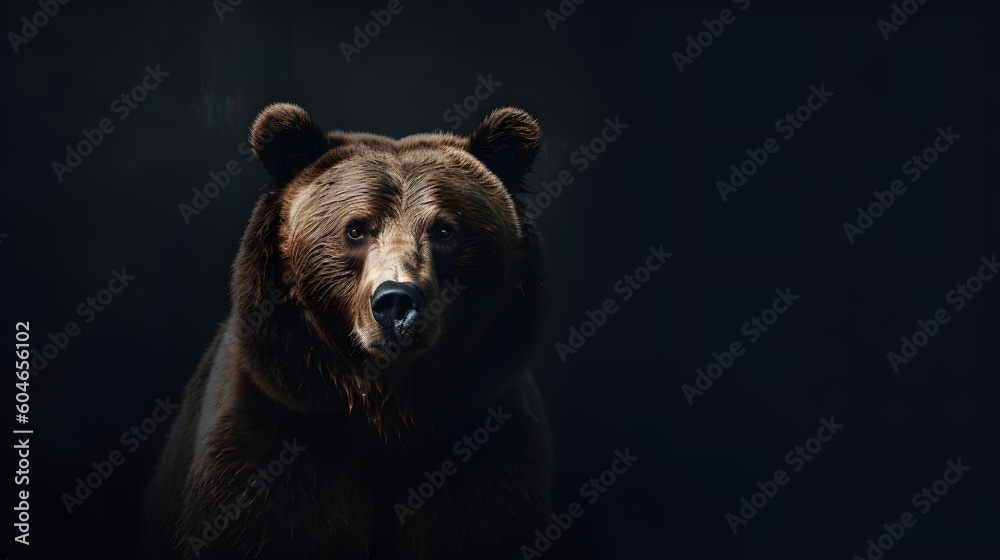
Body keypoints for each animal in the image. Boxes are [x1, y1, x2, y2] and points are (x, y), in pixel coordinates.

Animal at [145, 103, 553, 560]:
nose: (396, 302)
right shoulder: (269, 440)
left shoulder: (489, 451)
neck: (386, 412)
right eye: (356, 228)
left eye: (445, 230)